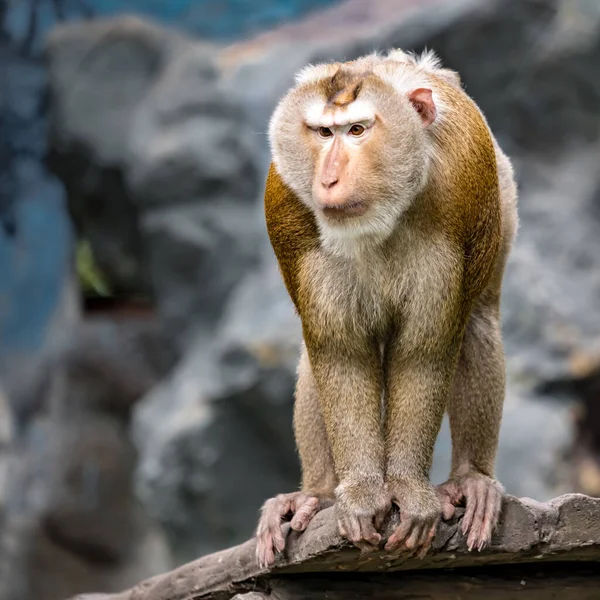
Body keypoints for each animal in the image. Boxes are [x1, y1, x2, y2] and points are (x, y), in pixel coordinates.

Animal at [253, 48, 516, 568]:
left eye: (357, 130)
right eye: (323, 132)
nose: (328, 178)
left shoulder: (460, 197)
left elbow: (425, 351)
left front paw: (410, 493)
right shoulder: (289, 209)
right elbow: (339, 352)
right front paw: (360, 495)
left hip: (502, 195)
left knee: (477, 322)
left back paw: (471, 479)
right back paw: (318, 494)